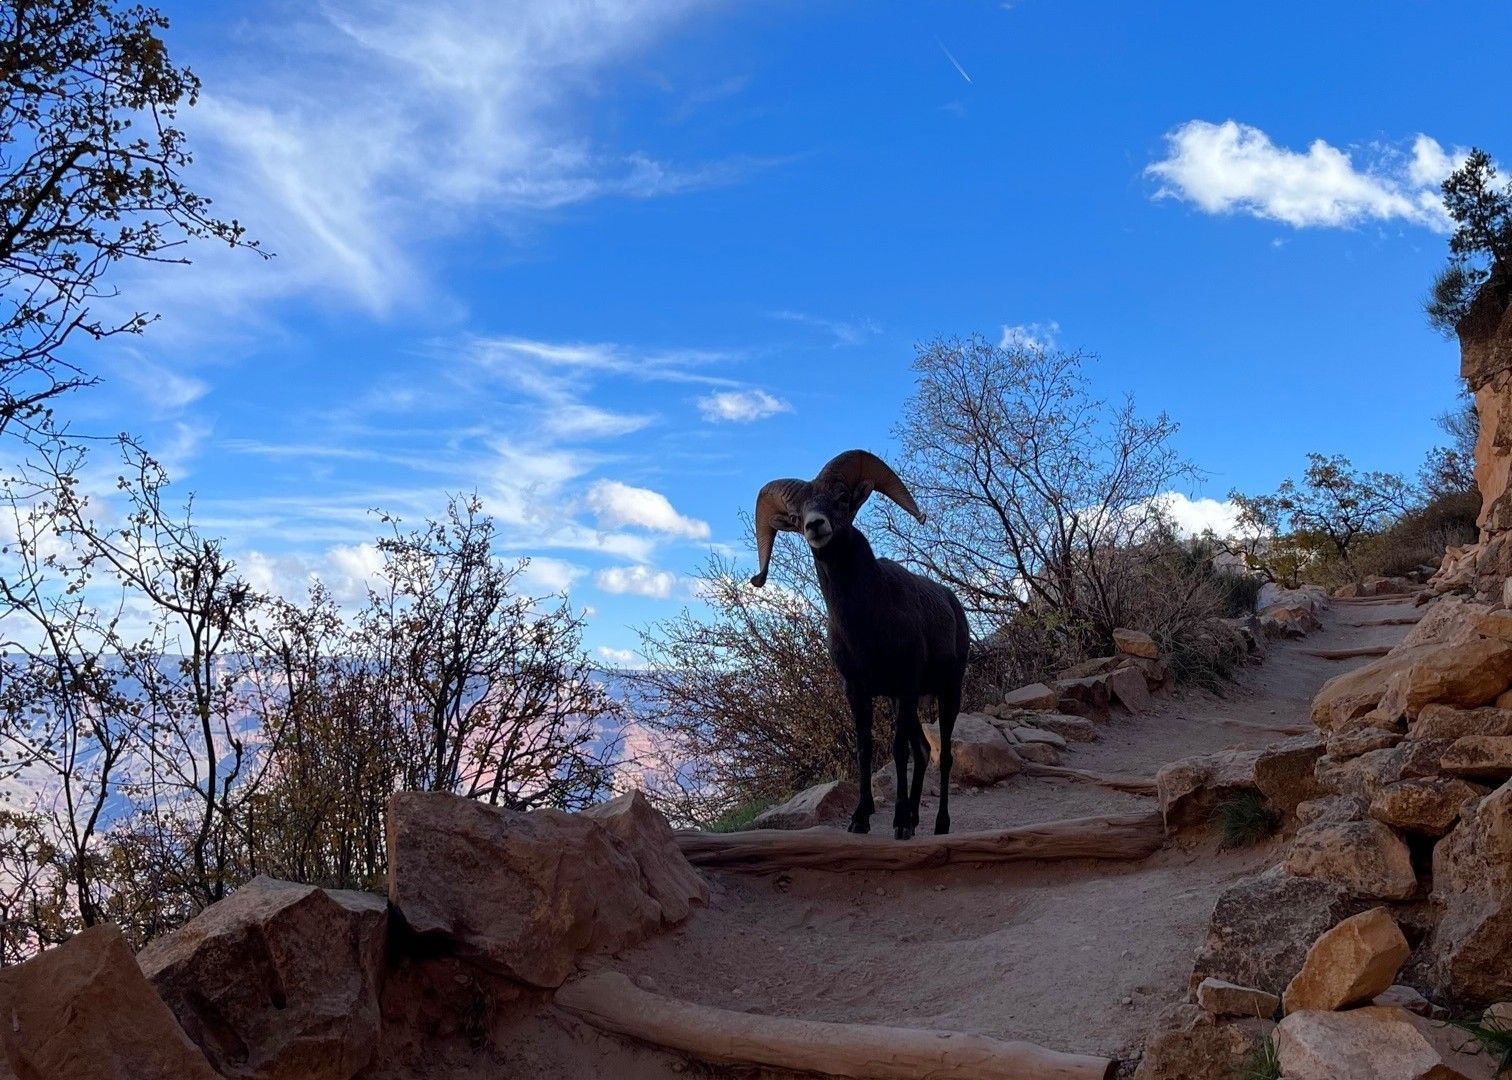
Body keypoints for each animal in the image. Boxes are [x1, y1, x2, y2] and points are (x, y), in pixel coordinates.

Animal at [749, 450, 970, 839]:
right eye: (796, 517)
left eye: (840, 499)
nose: (815, 526)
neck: (866, 624)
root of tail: (952, 602)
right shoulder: (859, 690)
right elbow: (865, 749)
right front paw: (862, 819)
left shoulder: (905, 684)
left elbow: (897, 751)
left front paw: (898, 823)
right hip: (906, 702)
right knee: (923, 750)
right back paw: (914, 817)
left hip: (948, 692)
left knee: (942, 756)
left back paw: (938, 824)